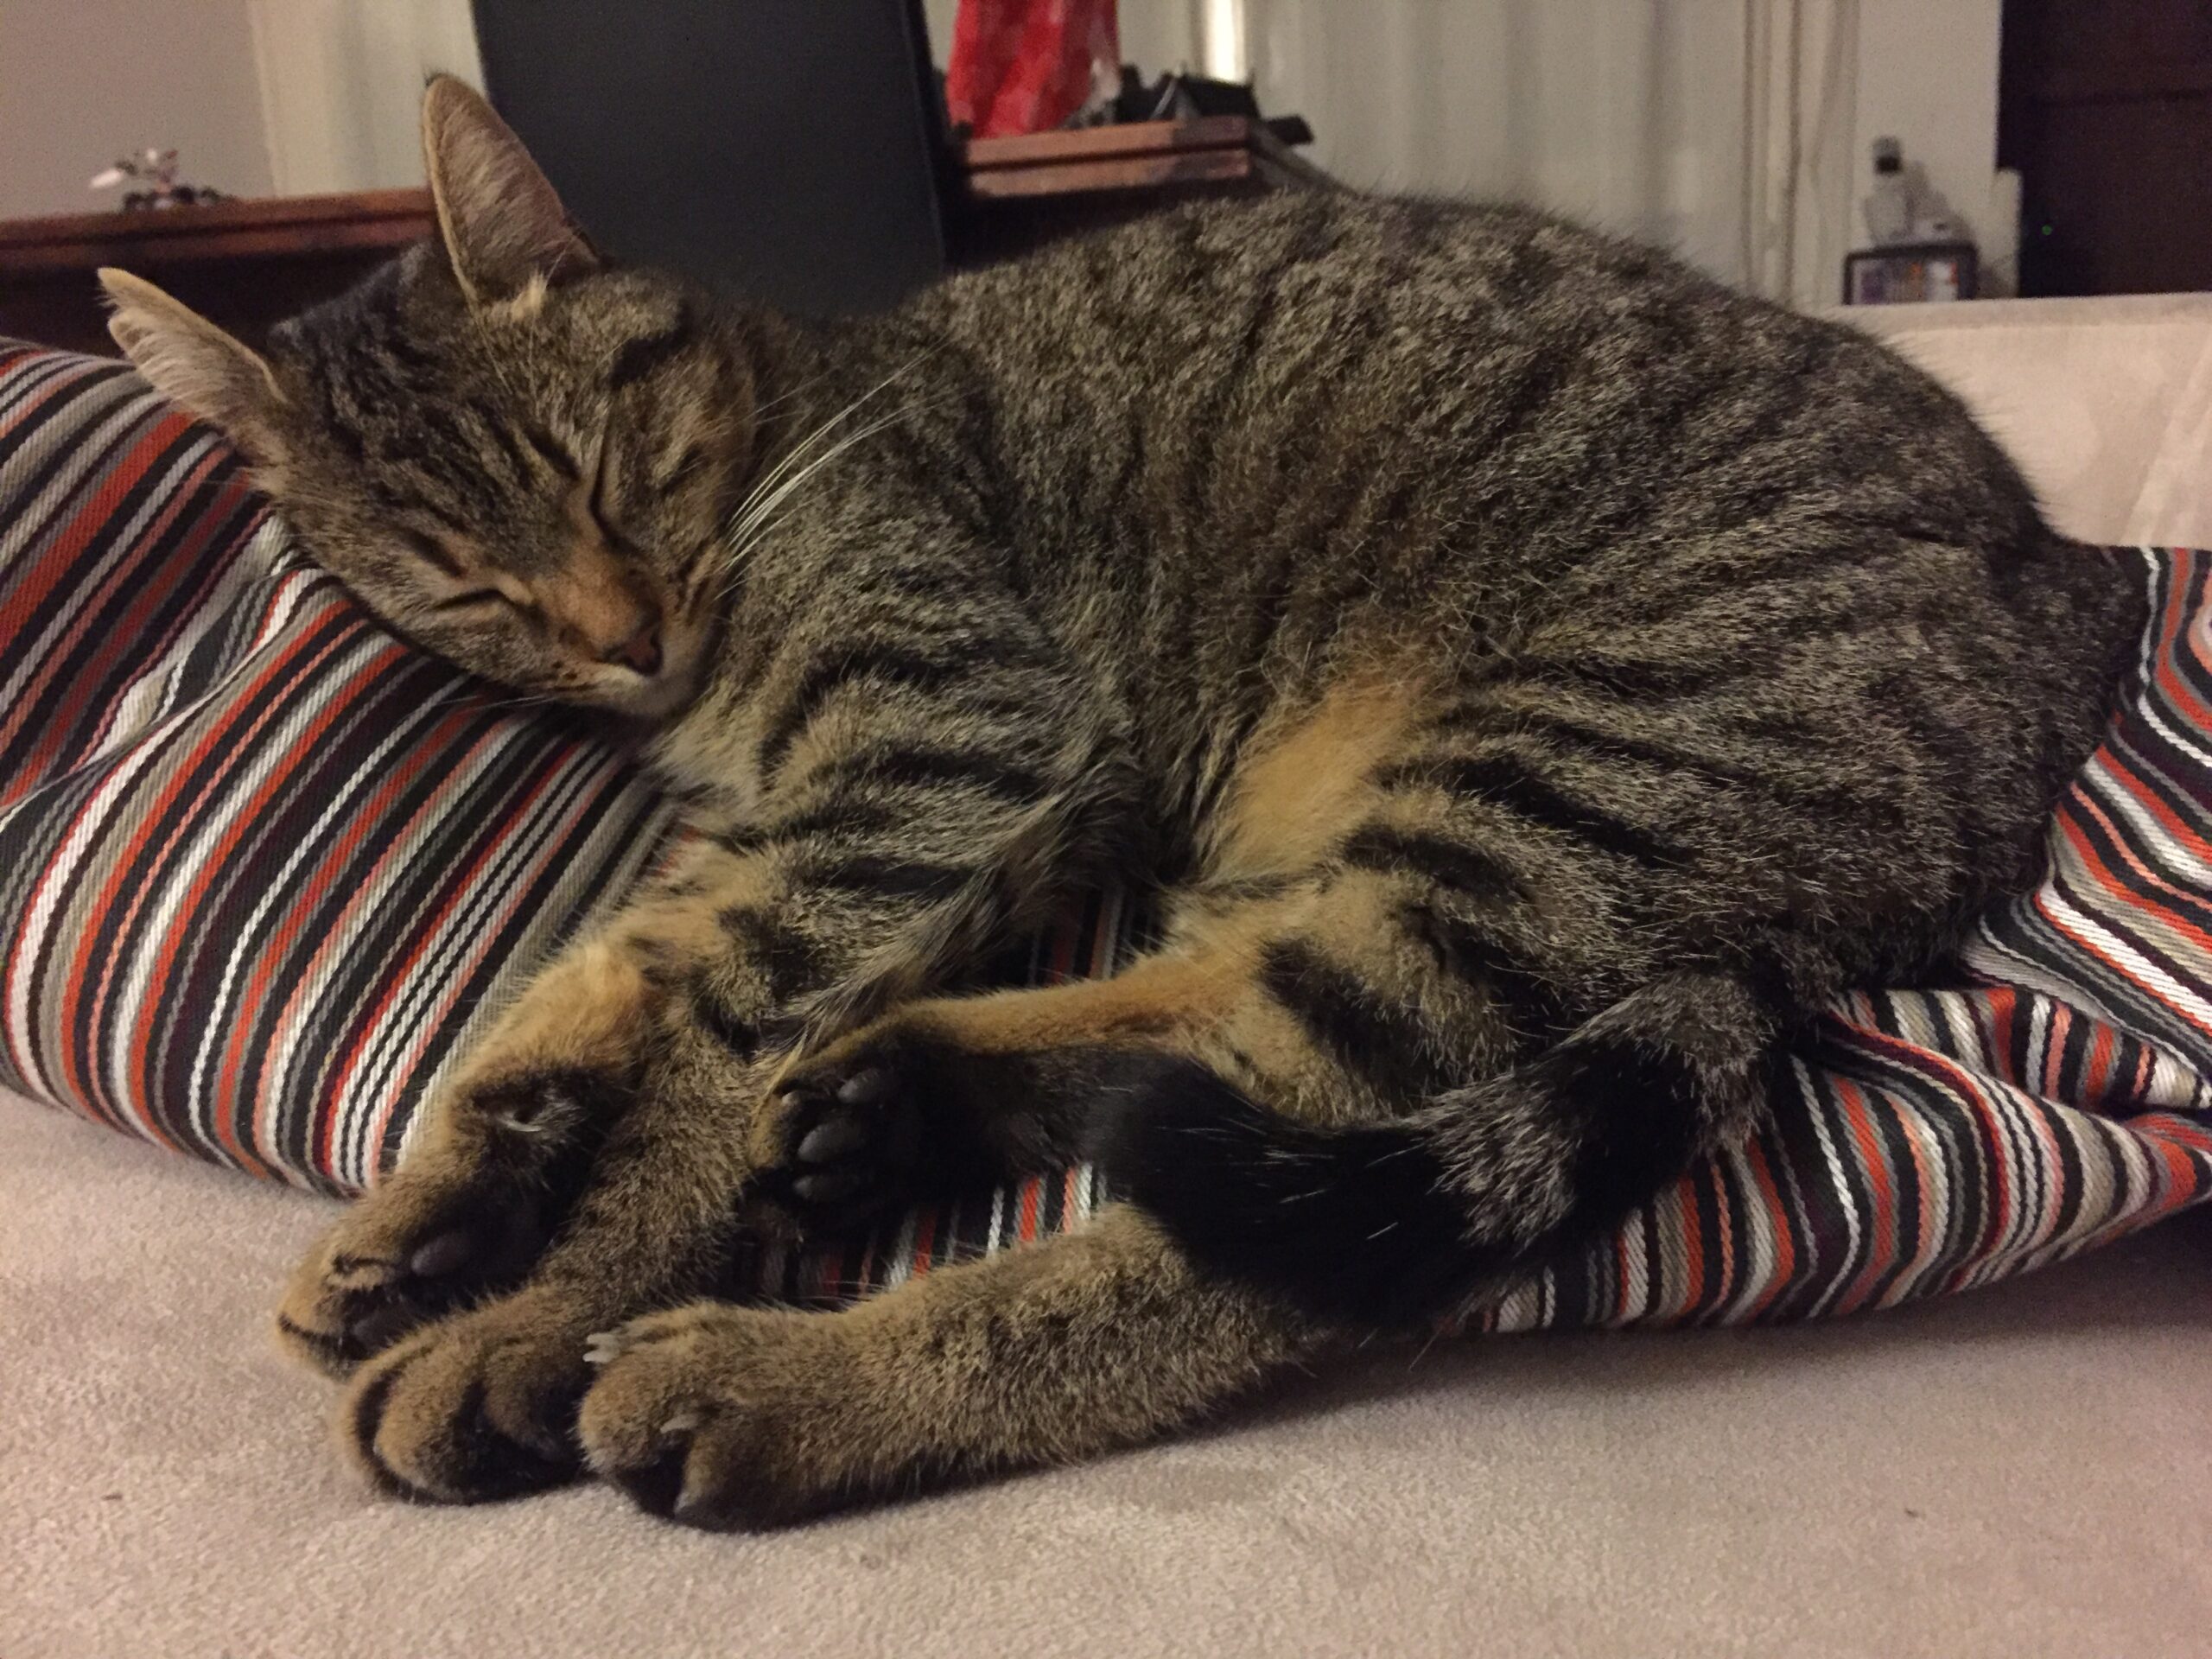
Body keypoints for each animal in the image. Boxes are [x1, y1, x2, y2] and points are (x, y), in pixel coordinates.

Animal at [99, 81, 2141, 1530]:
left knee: (1244, 1238)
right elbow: (602, 975)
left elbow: (687, 1073)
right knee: (1203, 1053)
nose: (620, 636)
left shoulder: (938, 745)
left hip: (1542, 806)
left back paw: (776, 1382)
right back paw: (893, 1101)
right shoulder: (836, 826)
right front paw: (430, 1206)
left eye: (606, 471)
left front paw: (527, 1313)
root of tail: (2057, 600)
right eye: (465, 586)